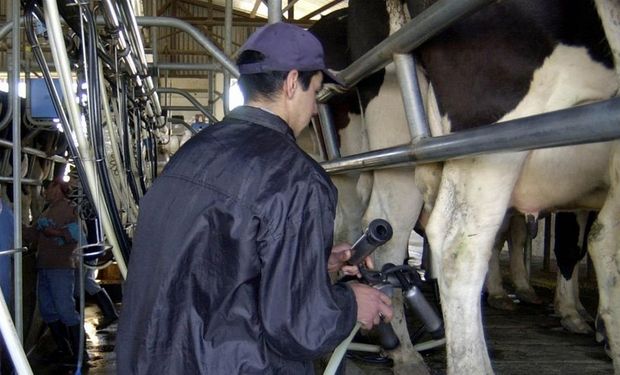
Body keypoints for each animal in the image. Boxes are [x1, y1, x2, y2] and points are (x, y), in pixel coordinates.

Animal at [312, 0, 616, 374]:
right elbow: (586, 244)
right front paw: (579, 317)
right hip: (489, 131)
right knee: (458, 246)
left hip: (395, 154)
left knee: (380, 231)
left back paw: (404, 352)